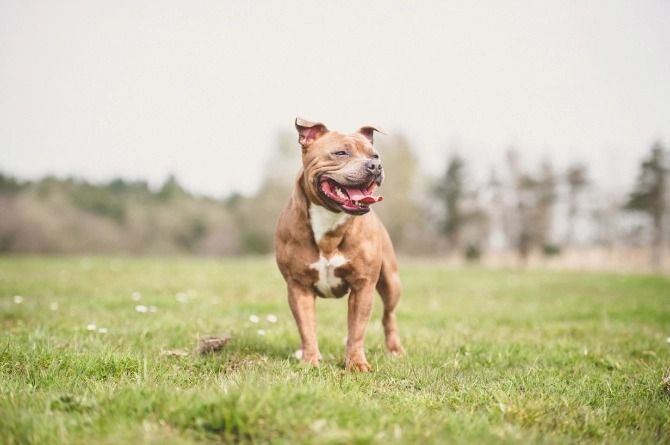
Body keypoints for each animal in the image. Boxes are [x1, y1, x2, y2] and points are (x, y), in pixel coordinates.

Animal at [272, 116, 404, 370]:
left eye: (375, 155)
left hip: (391, 282)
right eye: (341, 153)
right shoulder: (298, 286)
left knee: (389, 316)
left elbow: (356, 330)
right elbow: (307, 327)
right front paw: (310, 360)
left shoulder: (363, 286)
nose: (375, 166)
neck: (330, 220)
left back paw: (395, 350)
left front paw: (356, 364)